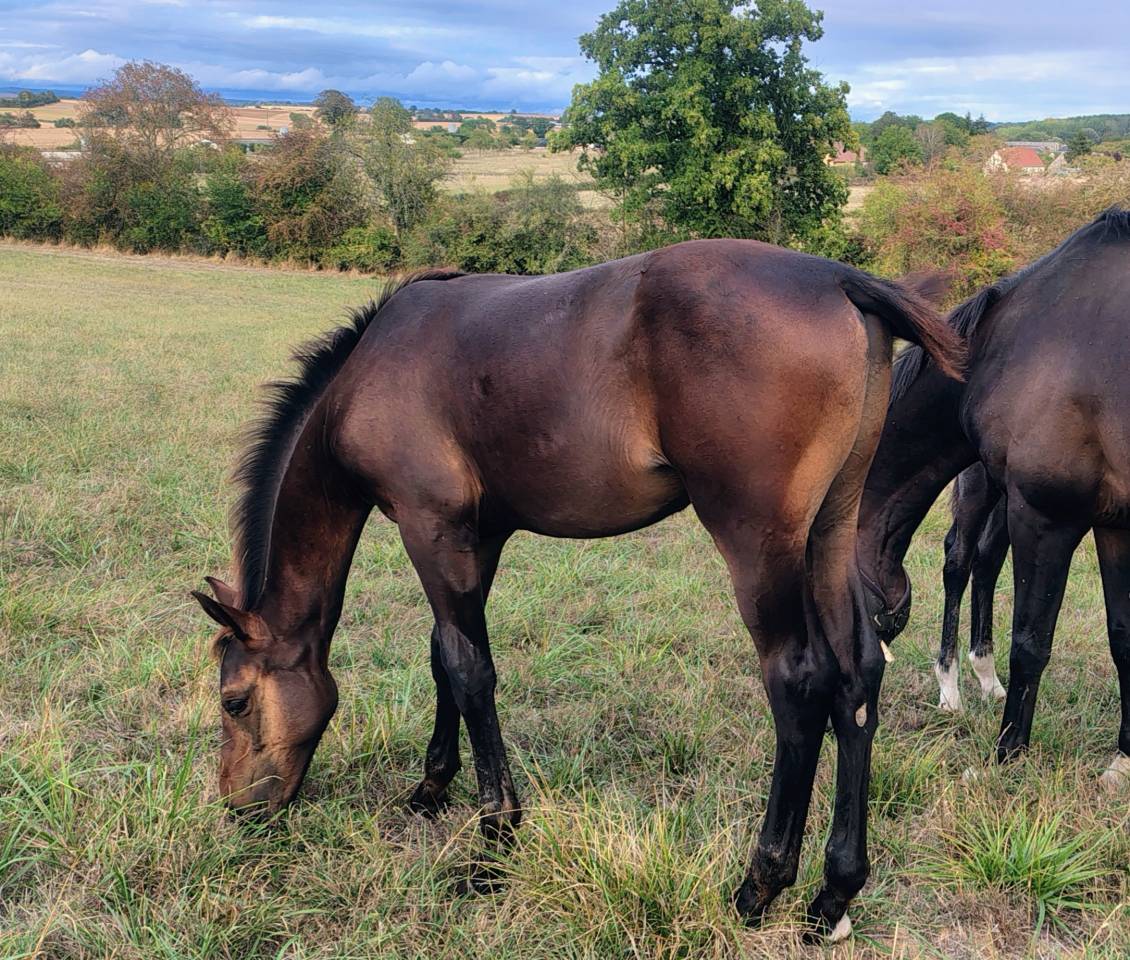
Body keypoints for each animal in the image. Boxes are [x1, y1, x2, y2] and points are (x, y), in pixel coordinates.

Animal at [192, 238, 962, 938]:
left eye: (234, 701)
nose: (238, 808)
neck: (372, 370)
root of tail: (839, 279)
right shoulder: (479, 538)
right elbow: (445, 657)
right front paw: (432, 786)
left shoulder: (430, 528)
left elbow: (469, 670)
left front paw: (494, 840)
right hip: (831, 530)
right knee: (857, 675)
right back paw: (834, 894)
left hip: (759, 546)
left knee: (799, 682)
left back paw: (759, 885)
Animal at [857, 208, 1130, 789]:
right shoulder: (1106, 522)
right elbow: (1117, 637)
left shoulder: (1050, 516)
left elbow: (1032, 640)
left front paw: (1007, 756)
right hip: (983, 491)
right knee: (965, 559)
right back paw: (959, 683)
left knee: (976, 559)